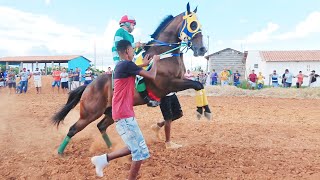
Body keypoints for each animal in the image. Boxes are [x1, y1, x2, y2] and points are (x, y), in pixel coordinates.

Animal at [52, 2, 212, 155]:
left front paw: (205, 110)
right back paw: (59, 153)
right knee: (73, 129)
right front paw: (201, 110)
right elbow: (197, 85)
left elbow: (196, 89)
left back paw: (112, 148)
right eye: (193, 25)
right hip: (90, 114)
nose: (202, 49)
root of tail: (89, 86)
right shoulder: (169, 84)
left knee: (101, 126)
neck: (164, 55)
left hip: (111, 112)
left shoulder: (176, 85)